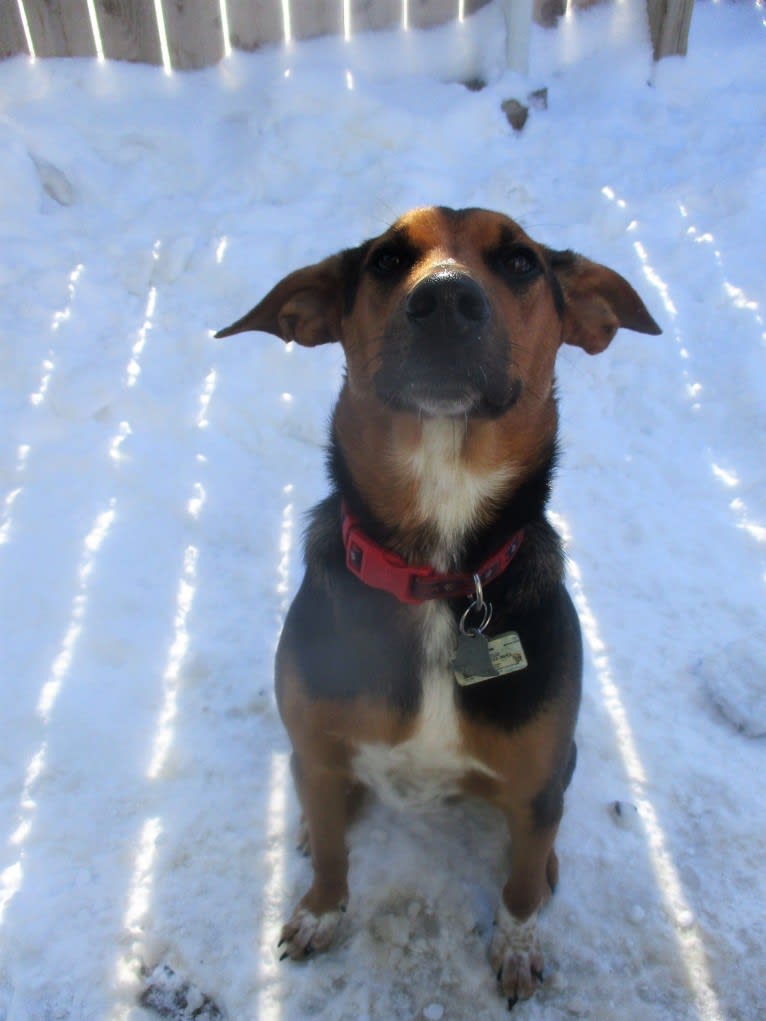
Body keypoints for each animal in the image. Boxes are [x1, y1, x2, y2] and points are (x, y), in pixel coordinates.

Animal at [214, 205, 661, 1004]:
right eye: (388, 260)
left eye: (519, 262)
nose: (446, 298)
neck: (439, 570)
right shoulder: (318, 747)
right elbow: (334, 855)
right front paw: (320, 910)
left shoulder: (536, 774)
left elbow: (519, 887)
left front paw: (516, 945)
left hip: (562, 760)